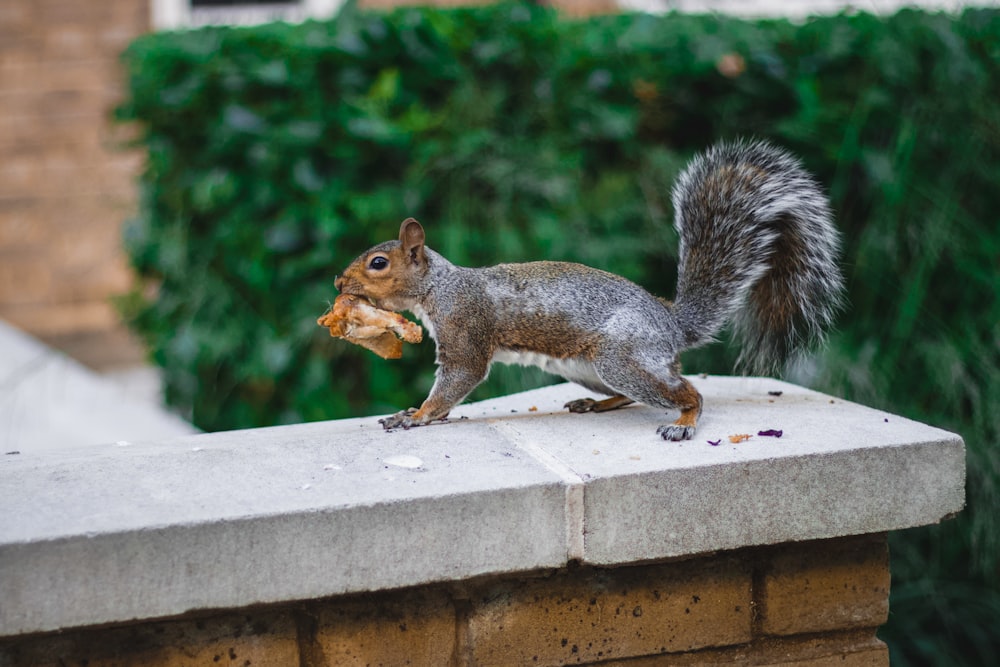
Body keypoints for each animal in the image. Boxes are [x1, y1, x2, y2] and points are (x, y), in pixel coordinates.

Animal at [336, 139, 844, 440]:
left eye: (378, 263)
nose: (340, 283)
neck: (441, 286)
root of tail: (670, 322)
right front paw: (416, 412)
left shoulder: (466, 327)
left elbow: (458, 378)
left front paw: (417, 415)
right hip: (588, 366)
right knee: (636, 391)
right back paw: (597, 403)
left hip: (621, 356)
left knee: (688, 392)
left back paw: (683, 420)